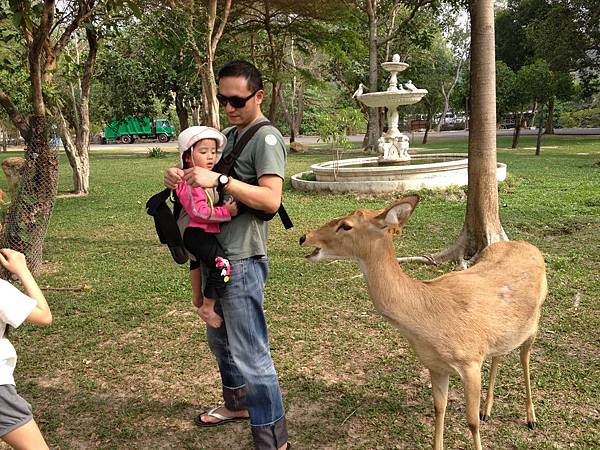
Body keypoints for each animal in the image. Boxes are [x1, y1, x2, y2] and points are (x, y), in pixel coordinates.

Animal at [298, 196, 548, 450]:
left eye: (346, 225)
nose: (304, 238)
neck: (427, 322)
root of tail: (532, 247)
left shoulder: (470, 361)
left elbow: (471, 422)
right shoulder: (435, 365)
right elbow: (439, 409)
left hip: (535, 322)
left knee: (524, 359)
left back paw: (531, 419)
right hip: (504, 332)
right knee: (499, 354)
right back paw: (487, 411)